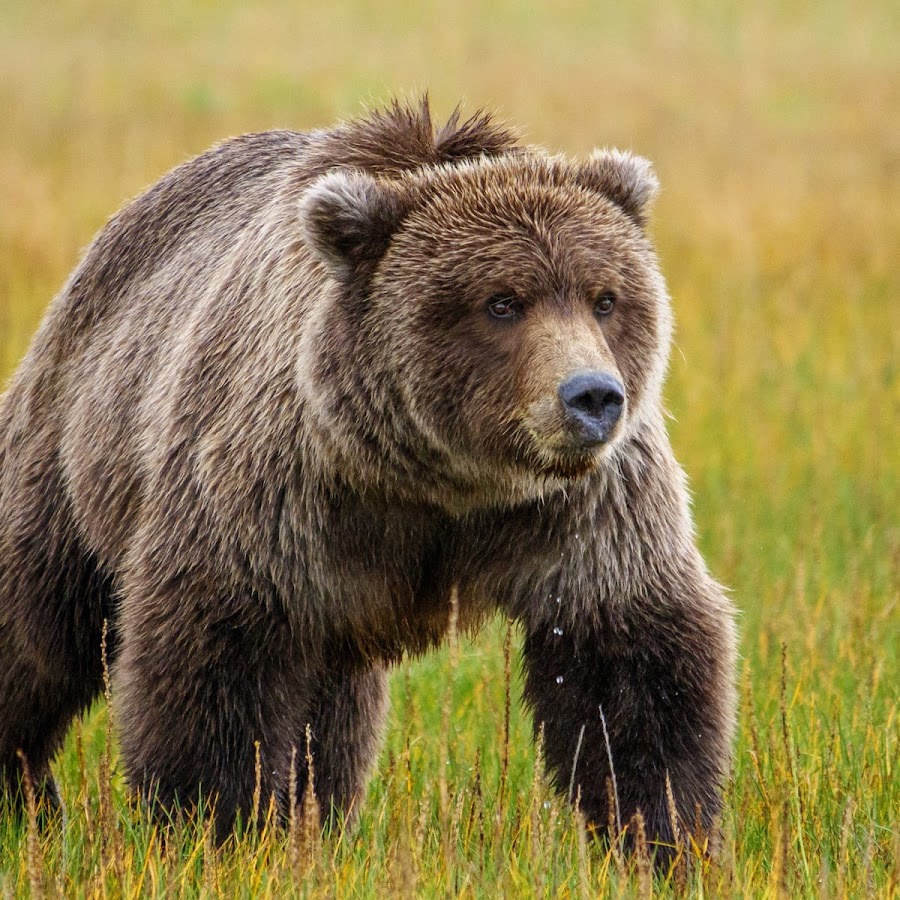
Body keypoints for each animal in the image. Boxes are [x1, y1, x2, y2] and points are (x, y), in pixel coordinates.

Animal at [0, 98, 736, 856]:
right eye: (503, 301)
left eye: (605, 297)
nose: (591, 396)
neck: (441, 480)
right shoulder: (279, 488)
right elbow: (219, 655)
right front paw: (219, 828)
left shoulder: (583, 508)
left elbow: (628, 656)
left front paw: (665, 836)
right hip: (74, 446)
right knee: (37, 623)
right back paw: (29, 792)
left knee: (334, 714)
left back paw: (316, 819)